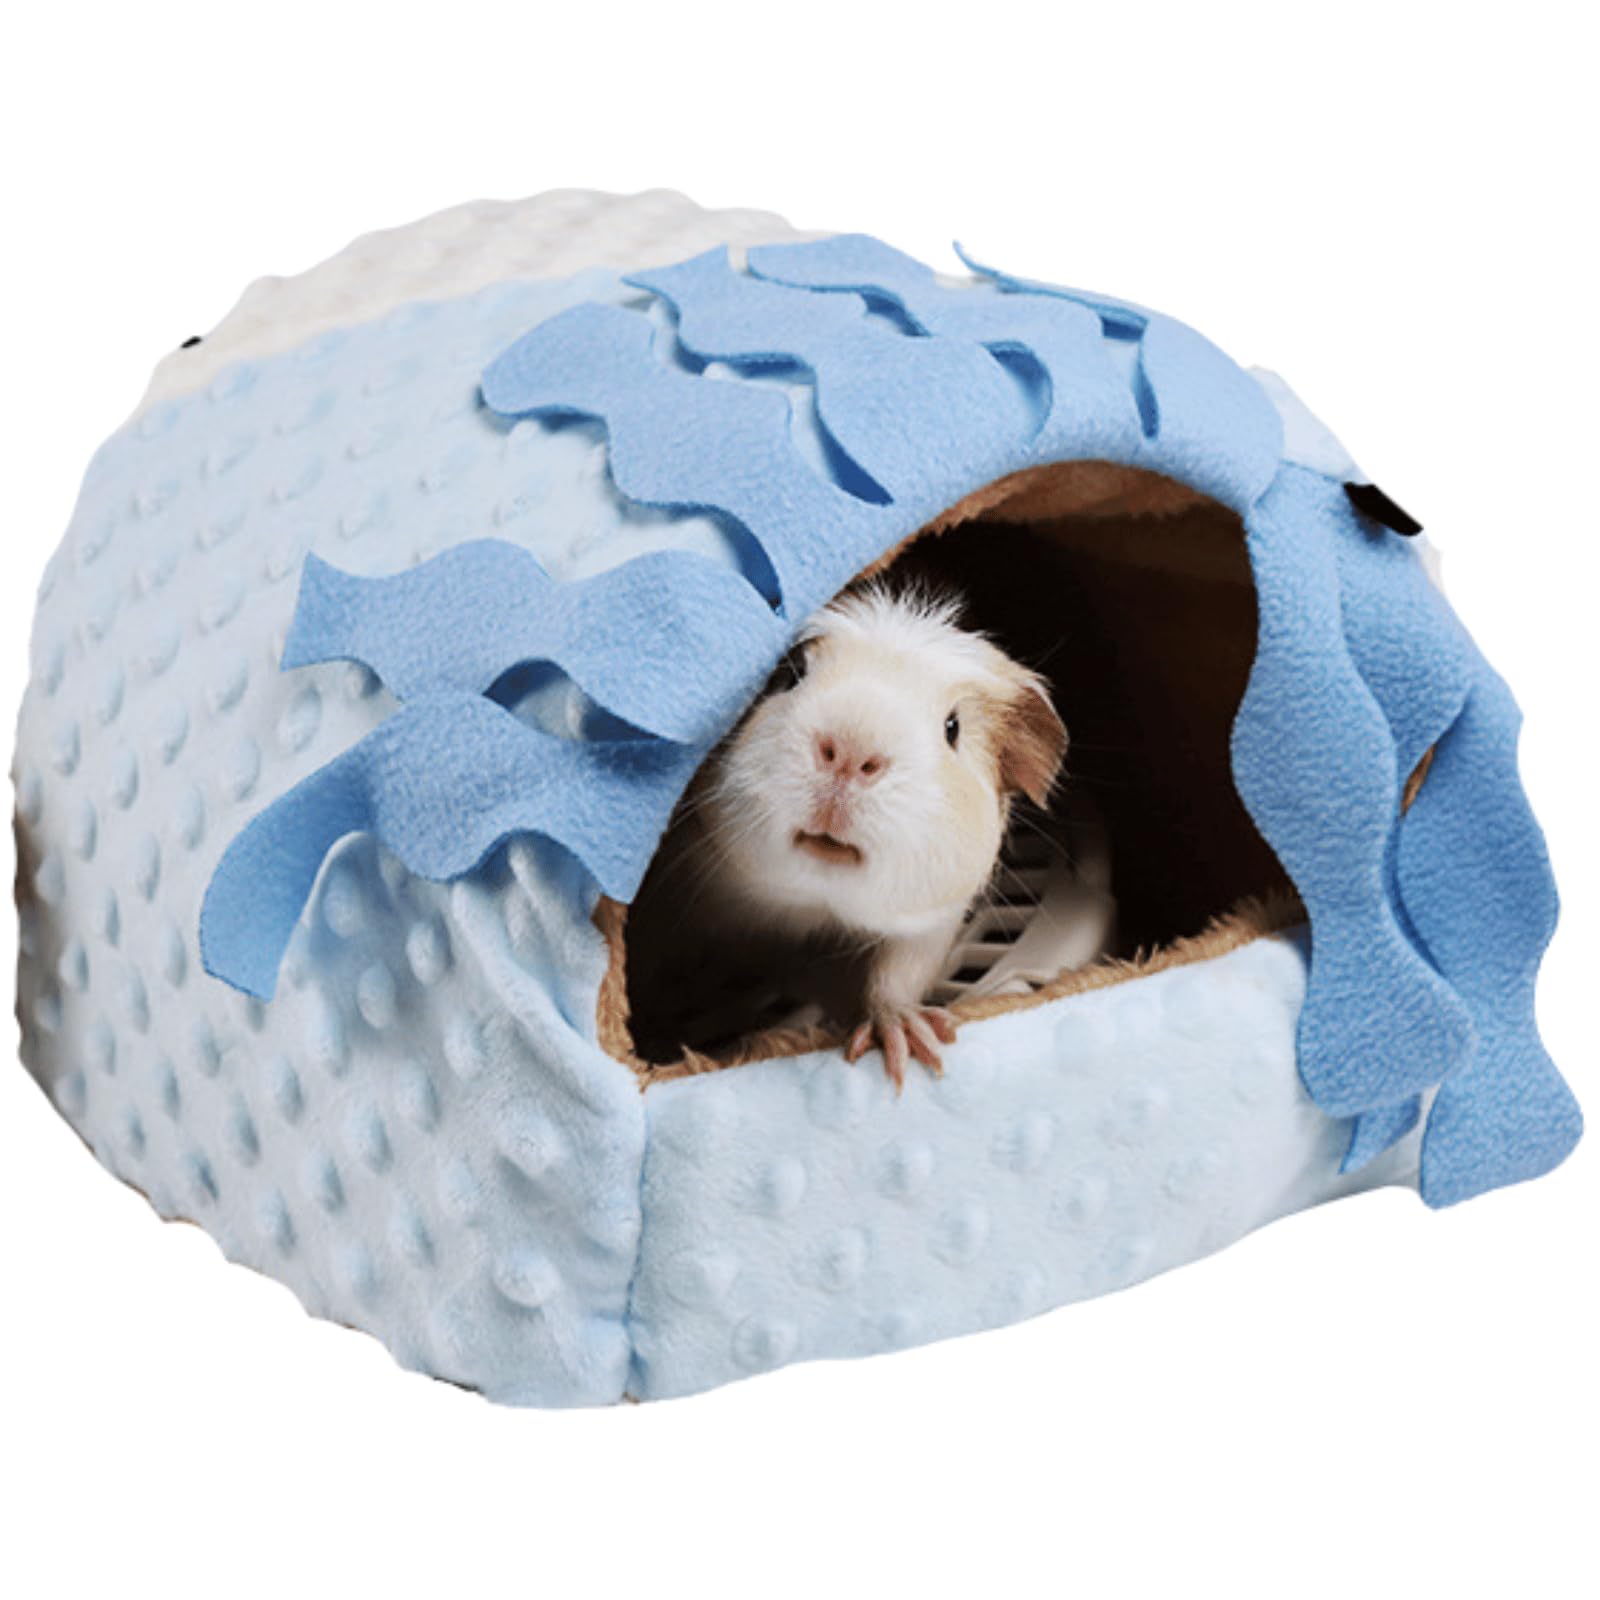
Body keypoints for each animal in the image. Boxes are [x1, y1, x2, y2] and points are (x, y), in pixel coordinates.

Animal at [629, 582, 1068, 1087]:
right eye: (792, 675)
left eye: (952, 727)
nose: (850, 753)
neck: (807, 903)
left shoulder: (931, 925)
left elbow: (895, 980)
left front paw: (909, 1041)